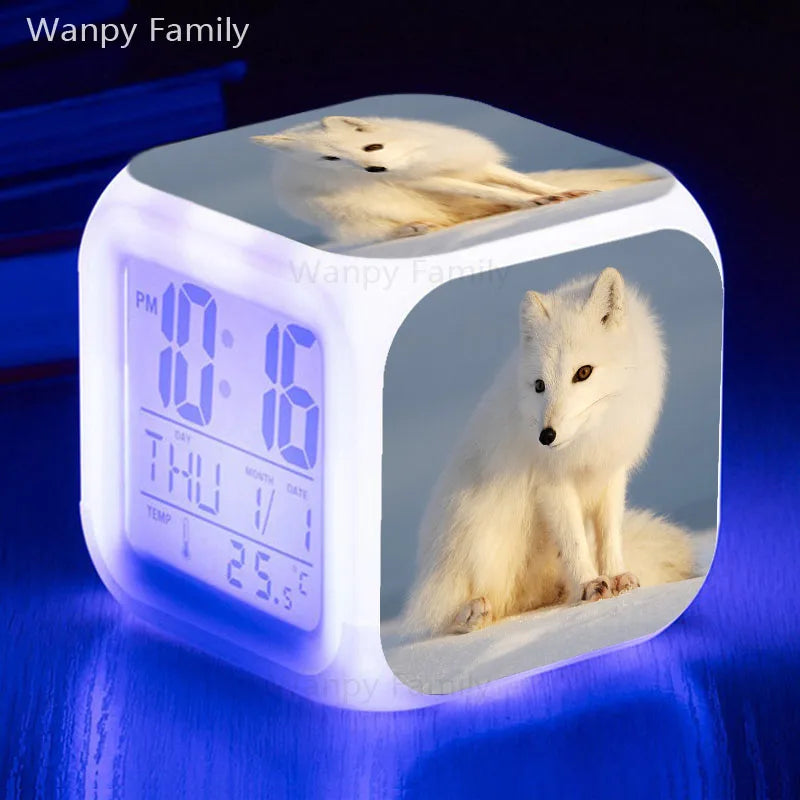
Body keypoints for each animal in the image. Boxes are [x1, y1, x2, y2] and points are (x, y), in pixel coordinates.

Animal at [251, 116, 656, 246]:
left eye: (372, 146)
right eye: (331, 160)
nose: (375, 172)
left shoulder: (467, 164)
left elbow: (521, 183)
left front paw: (564, 194)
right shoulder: (436, 182)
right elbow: (498, 191)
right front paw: (533, 206)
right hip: (353, 214)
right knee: (376, 232)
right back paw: (417, 227)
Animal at [401, 267, 695, 637]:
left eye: (583, 372)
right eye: (540, 385)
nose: (546, 436)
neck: (588, 443)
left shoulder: (611, 475)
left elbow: (608, 536)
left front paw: (615, 577)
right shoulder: (551, 486)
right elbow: (574, 542)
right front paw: (589, 585)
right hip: (478, 536)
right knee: (446, 615)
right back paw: (471, 614)